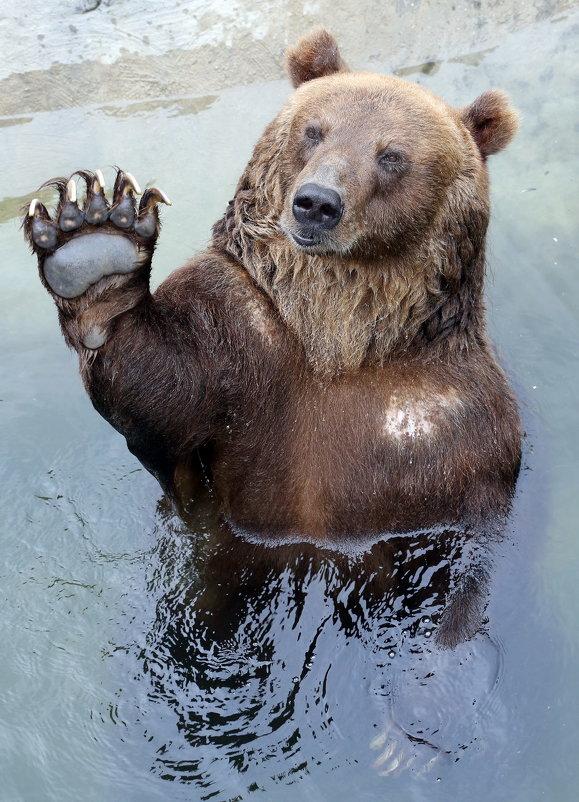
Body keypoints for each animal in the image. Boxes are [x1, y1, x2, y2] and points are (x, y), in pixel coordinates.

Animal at [22, 31, 520, 564]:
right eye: (314, 130)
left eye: (392, 155)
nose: (317, 202)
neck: (339, 337)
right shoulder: (239, 328)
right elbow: (163, 394)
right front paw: (93, 240)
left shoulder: (453, 423)